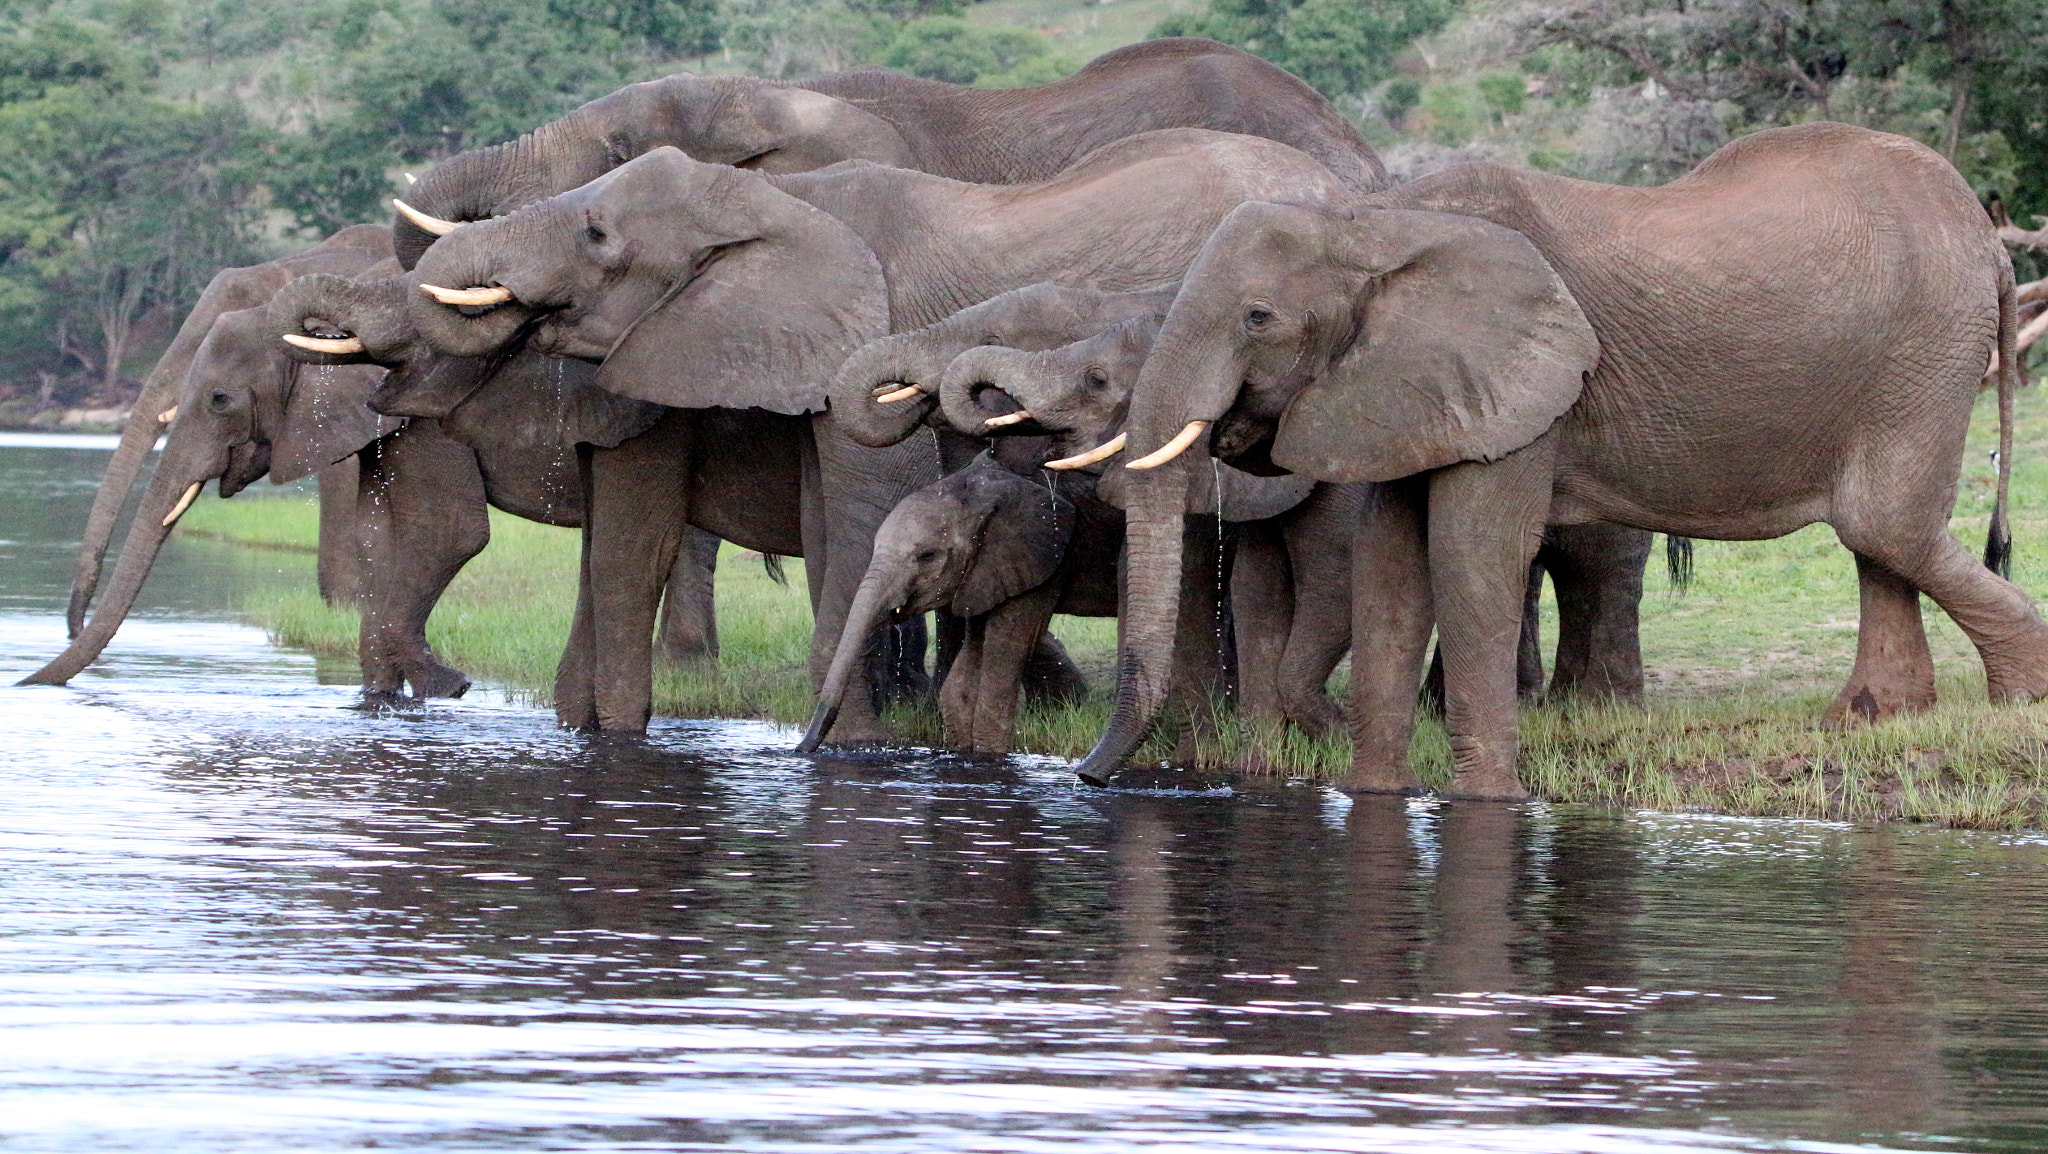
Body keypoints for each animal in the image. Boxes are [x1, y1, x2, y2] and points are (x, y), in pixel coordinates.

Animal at [1070, 122, 2048, 800]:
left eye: (1258, 318)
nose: (1087, 779)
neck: (1375, 223)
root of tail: (1988, 241)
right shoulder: (1412, 383)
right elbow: (1391, 570)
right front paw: (1376, 797)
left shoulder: (1519, 384)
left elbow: (1471, 560)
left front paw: (1489, 806)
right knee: (1877, 538)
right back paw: (1873, 718)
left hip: (1923, 350)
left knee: (1885, 524)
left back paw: (2021, 700)